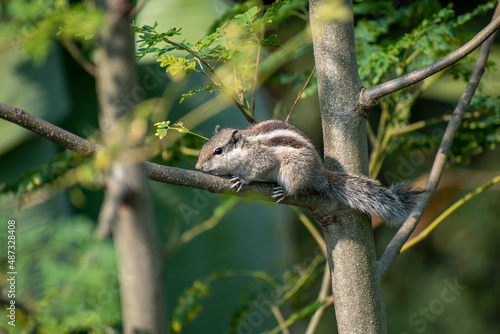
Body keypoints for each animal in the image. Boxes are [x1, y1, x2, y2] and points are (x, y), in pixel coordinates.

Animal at [195, 120, 422, 227]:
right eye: (205, 145)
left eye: (218, 151)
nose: (198, 167)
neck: (245, 147)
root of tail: (320, 174)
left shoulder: (262, 158)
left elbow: (255, 171)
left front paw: (241, 180)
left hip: (293, 169)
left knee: (297, 188)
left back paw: (284, 192)